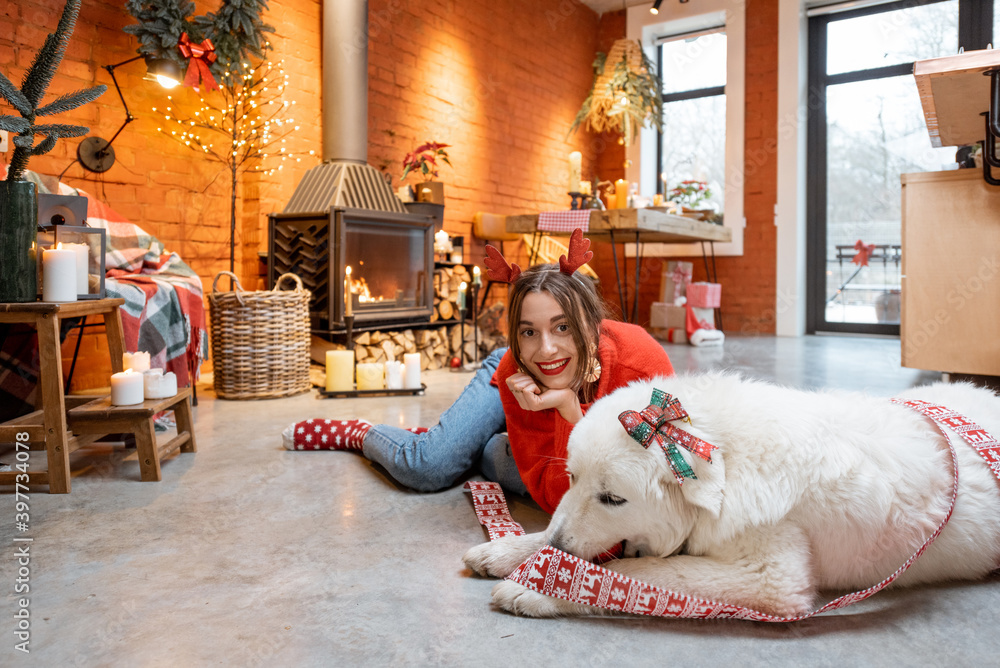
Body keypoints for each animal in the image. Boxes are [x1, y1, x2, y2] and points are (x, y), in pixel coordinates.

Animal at [464, 374, 1000, 620]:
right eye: (572, 479)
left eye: (613, 499)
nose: (559, 543)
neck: (731, 458)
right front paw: (512, 551)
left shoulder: (770, 580)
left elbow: (643, 574)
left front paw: (541, 587)